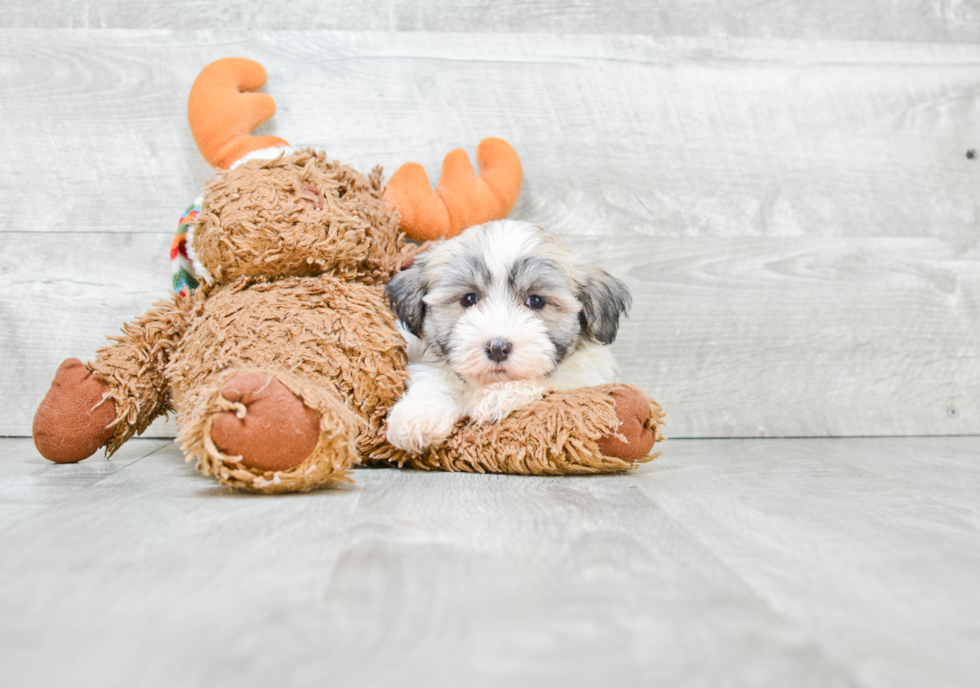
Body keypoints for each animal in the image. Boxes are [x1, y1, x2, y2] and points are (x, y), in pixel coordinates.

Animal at [382, 220, 628, 454]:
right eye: (469, 299)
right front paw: (417, 416)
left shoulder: (586, 374)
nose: (498, 348)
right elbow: (432, 381)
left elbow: (546, 380)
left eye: (536, 301)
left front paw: (496, 396)